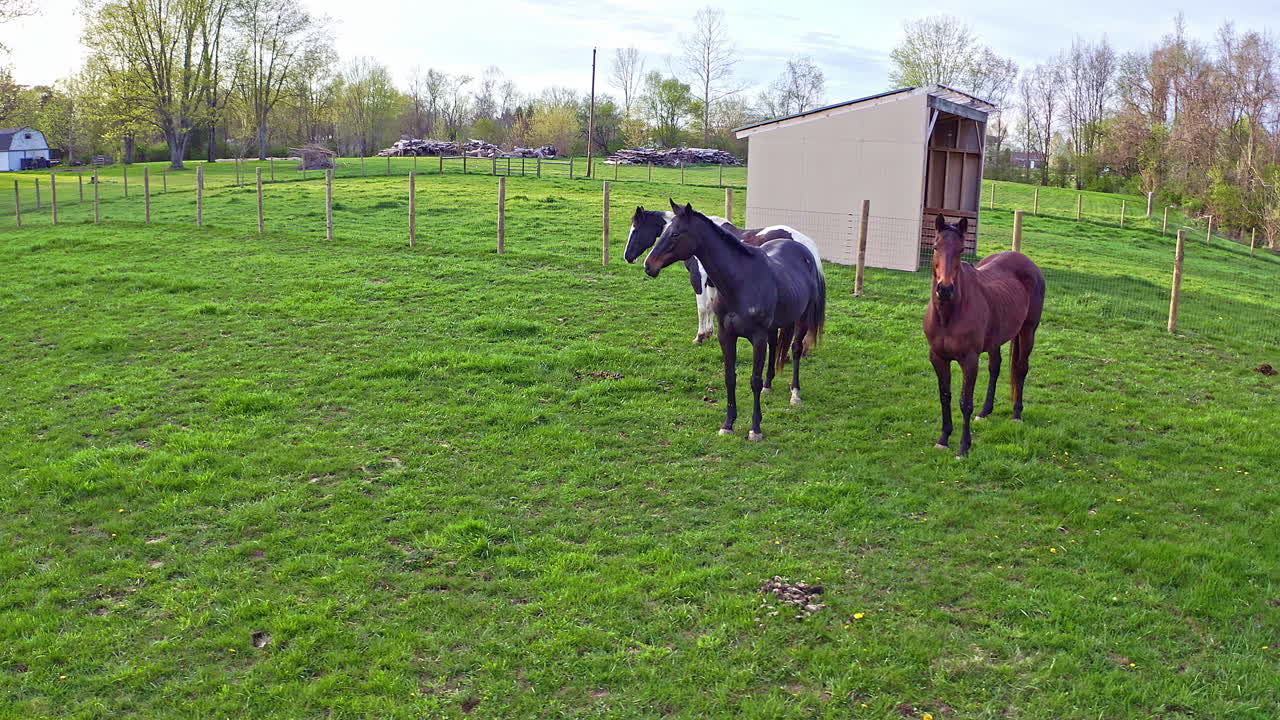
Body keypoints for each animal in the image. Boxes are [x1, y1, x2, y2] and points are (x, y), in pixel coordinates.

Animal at [624, 206, 825, 345]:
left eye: (635, 229)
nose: (628, 257)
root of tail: (805, 244)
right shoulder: (712, 283)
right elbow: (710, 306)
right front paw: (709, 333)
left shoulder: (698, 279)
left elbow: (702, 307)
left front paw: (700, 336)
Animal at [644, 200, 826, 441]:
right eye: (663, 231)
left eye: (675, 234)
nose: (648, 265)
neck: (741, 282)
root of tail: (805, 250)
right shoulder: (726, 335)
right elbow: (730, 377)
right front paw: (728, 424)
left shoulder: (757, 337)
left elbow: (754, 380)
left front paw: (755, 429)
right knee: (775, 345)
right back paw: (770, 384)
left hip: (802, 319)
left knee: (796, 350)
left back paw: (795, 393)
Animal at [923, 215, 1045, 457]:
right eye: (935, 247)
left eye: (961, 249)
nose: (945, 289)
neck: (948, 315)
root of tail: (1028, 263)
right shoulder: (938, 358)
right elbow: (945, 396)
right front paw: (943, 439)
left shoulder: (969, 361)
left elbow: (965, 402)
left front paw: (964, 448)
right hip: (995, 339)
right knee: (995, 367)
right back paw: (985, 411)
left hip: (1028, 331)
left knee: (1021, 368)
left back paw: (1016, 414)